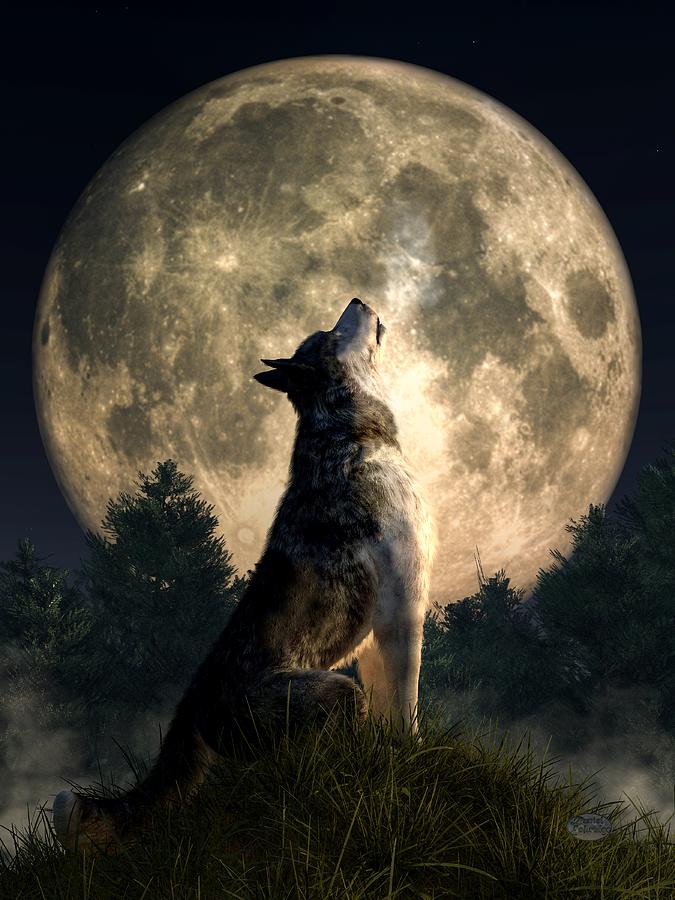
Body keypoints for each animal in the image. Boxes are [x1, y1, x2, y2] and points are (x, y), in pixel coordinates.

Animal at [52, 297, 435, 854]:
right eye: (331, 333)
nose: (358, 300)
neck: (345, 432)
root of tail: (191, 701)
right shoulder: (402, 615)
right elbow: (407, 706)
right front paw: (415, 756)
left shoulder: (375, 640)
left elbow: (393, 706)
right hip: (336, 694)